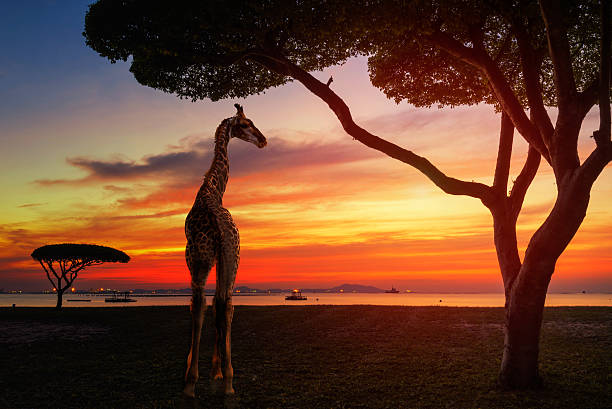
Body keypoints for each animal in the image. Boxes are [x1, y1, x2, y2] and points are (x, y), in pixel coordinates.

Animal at [183, 103, 266, 396]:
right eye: (246, 124)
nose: (263, 140)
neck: (211, 191)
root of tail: (219, 229)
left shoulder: (203, 258)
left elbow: (204, 306)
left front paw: (207, 371)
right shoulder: (222, 259)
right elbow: (217, 305)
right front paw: (216, 371)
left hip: (200, 258)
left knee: (202, 305)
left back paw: (193, 382)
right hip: (230, 257)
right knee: (224, 304)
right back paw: (226, 379)